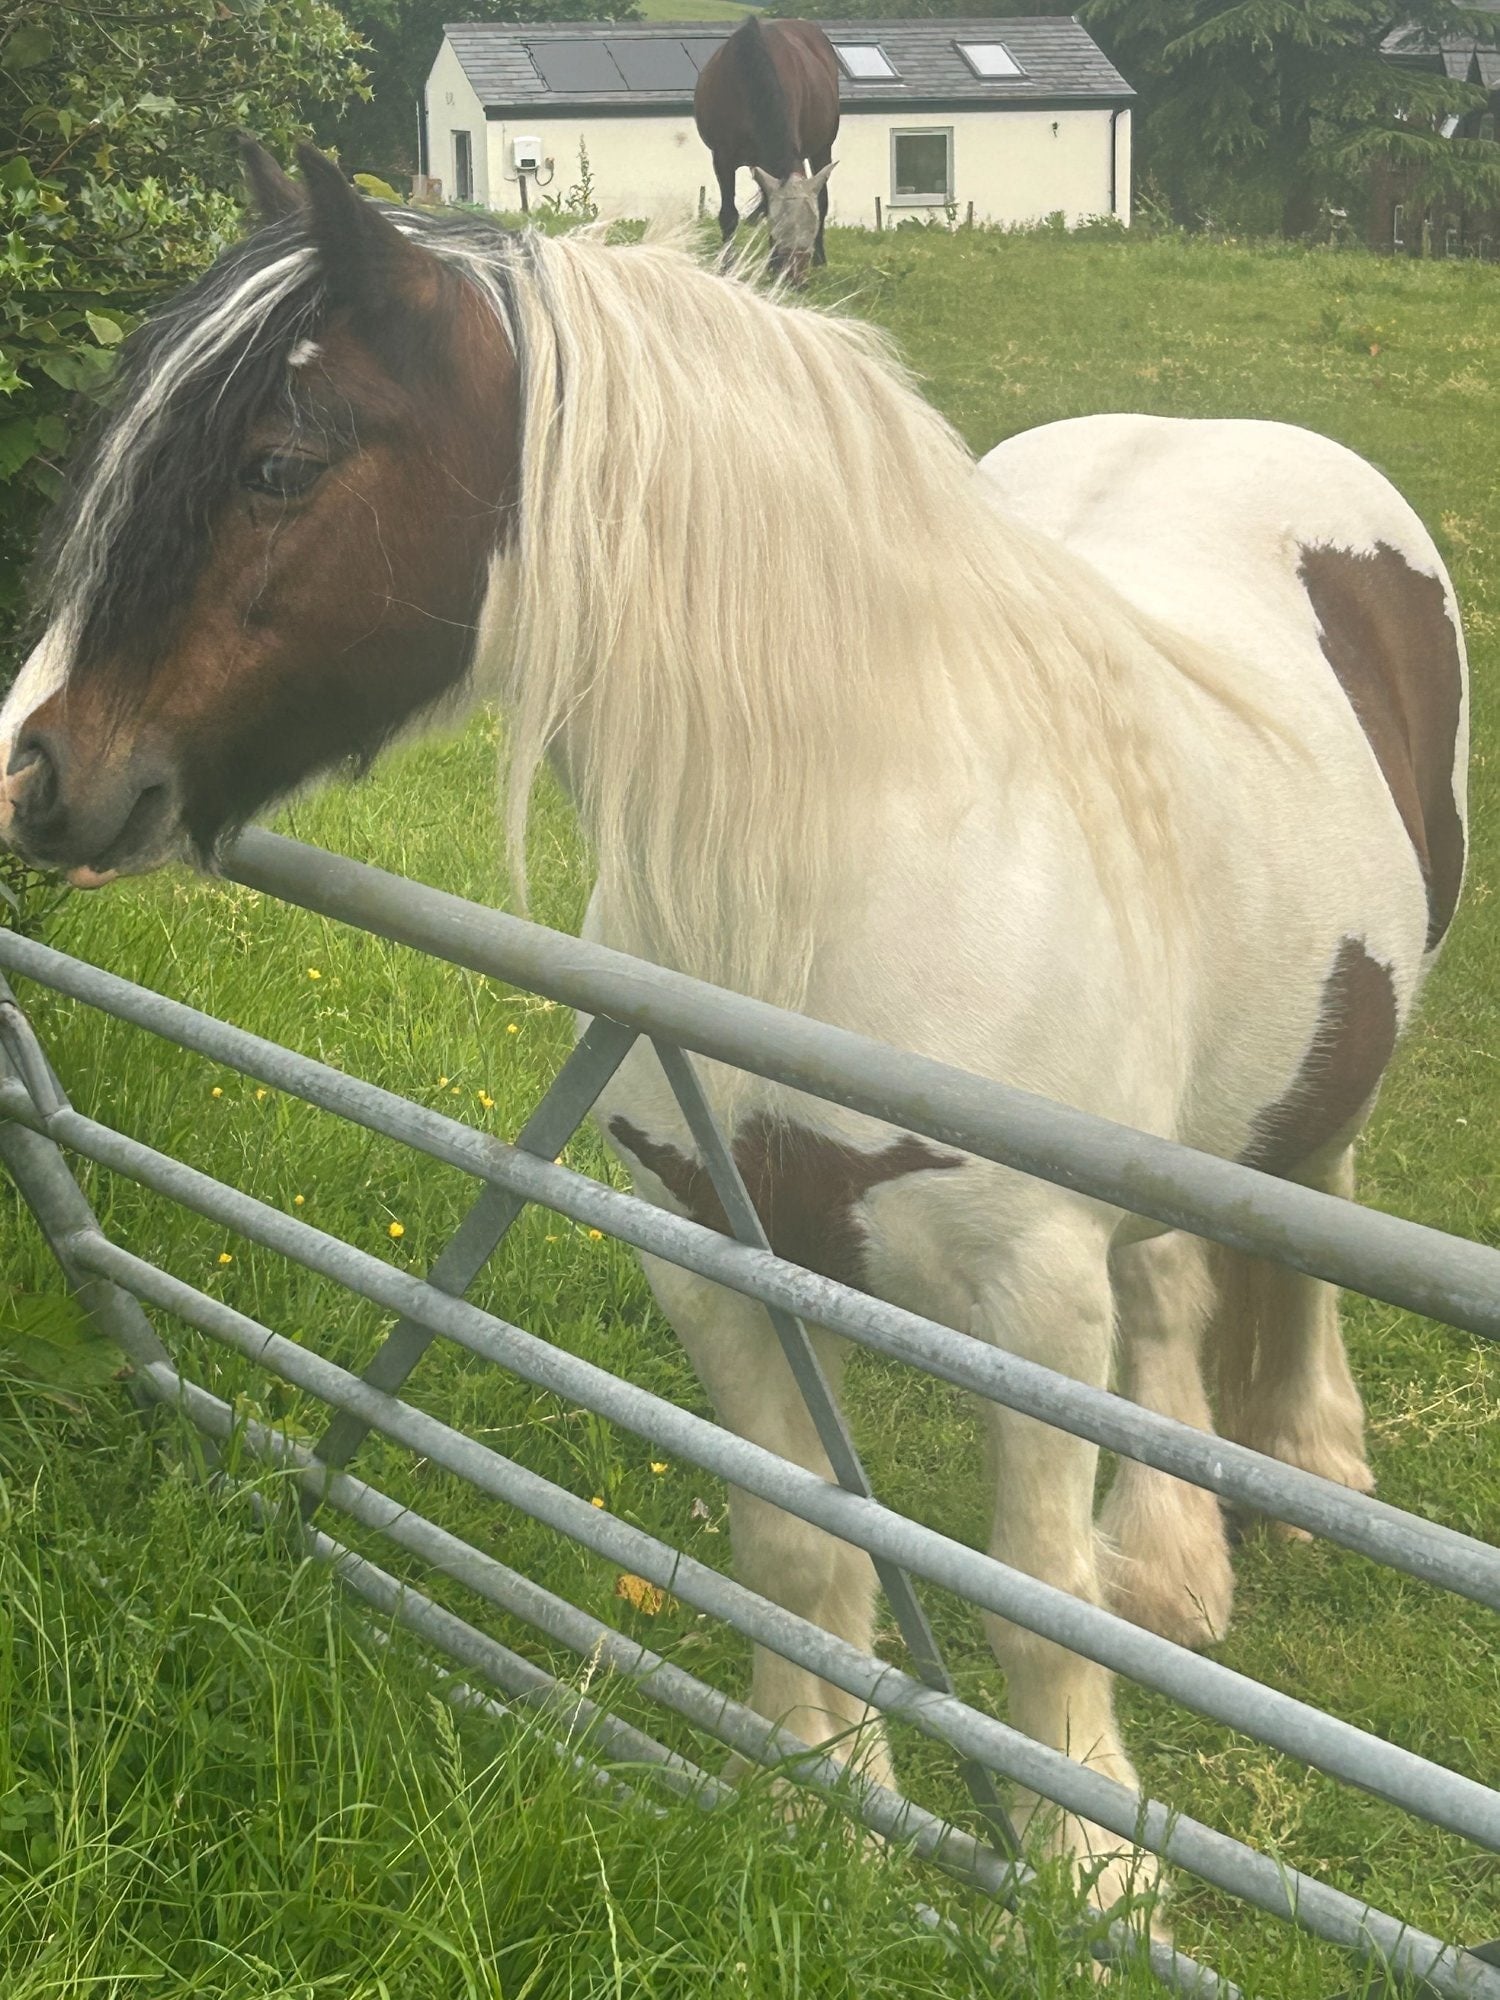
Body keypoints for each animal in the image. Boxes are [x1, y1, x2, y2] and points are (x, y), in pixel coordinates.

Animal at [0, 147, 1468, 1912]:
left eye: (280, 465)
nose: (34, 770)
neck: (856, 867)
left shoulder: (1030, 1304)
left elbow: (1033, 1602)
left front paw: (1088, 1876)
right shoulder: (709, 1248)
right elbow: (796, 1550)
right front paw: (813, 1803)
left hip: (1338, 1069)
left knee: (1305, 1218)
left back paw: (1303, 1469)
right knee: (1177, 1281)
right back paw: (1174, 1559)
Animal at [694, 17, 838, 283]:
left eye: (810, 229)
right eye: (780, 226)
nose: (796, 279)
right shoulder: (723, 157)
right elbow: (729, 214)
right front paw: (727, 266)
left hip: (824, 145)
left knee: (823, 198)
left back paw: (820, 259)